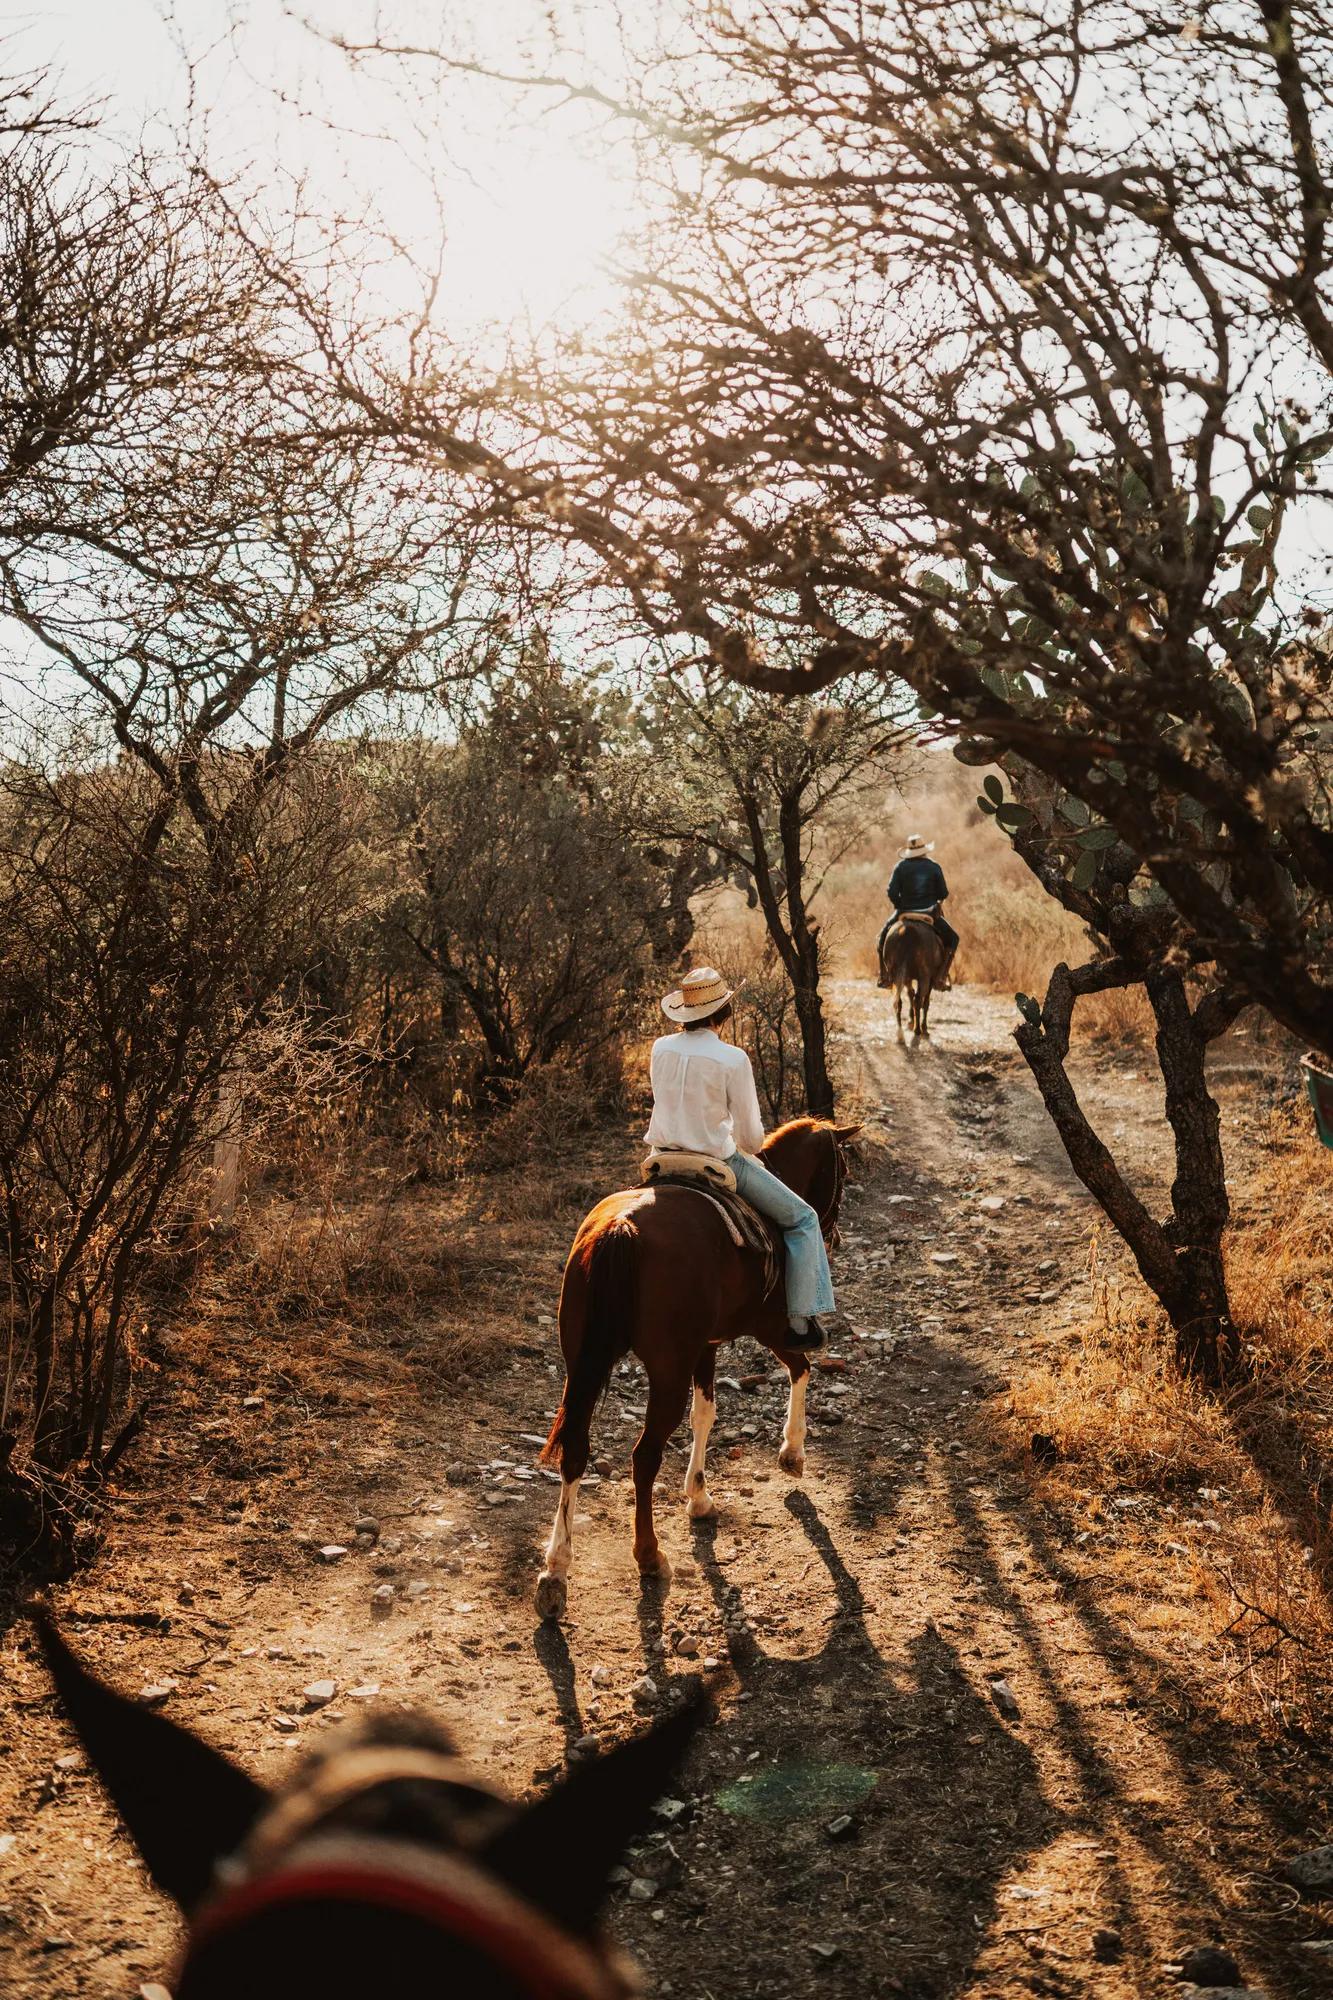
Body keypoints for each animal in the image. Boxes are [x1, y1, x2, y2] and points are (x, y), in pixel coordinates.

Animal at [534, 1117, 858, 1620]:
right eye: (841, 1168)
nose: (834, 1234)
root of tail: (622, 1229)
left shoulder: (705, 1347)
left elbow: (704, 1414)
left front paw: (700, 1497)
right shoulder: (770, 1328)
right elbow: (801, 1367)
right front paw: (791, 1453)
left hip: (582, 1365)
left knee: (575, 1450)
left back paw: (555, 1574)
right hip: (667, 1370)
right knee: (644, 1456)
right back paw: (649, 1556)